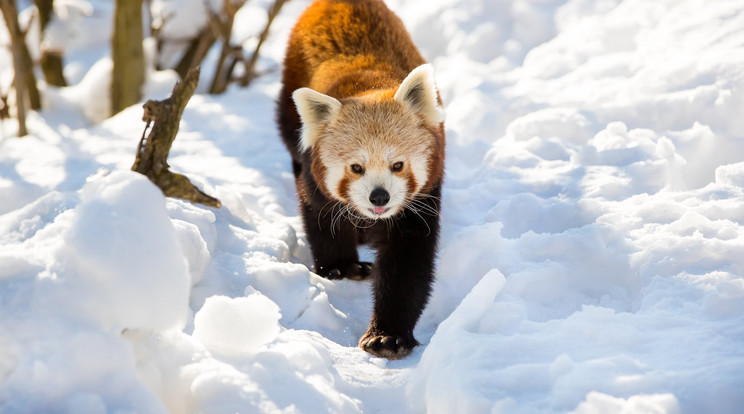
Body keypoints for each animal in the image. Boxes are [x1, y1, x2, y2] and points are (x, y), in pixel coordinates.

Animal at [276, 0, 444, 360]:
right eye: (356, 168)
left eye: (397, 165)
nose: (379, 197)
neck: (368, 85)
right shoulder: (316, 180)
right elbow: (321, 219)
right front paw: (340, 269)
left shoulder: (422, 200)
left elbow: (407, 265)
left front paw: (388, 336)